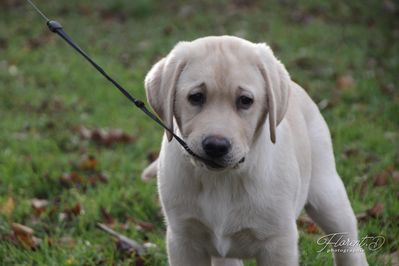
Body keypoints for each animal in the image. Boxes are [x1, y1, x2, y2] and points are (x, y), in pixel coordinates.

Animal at [142, 35, 368, 266]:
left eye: (245, 101)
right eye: (196, 97)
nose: (216, 146)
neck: (222, 180)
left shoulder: (278, 242)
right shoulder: (183, 239)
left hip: (328, 194)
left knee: (349, 246)